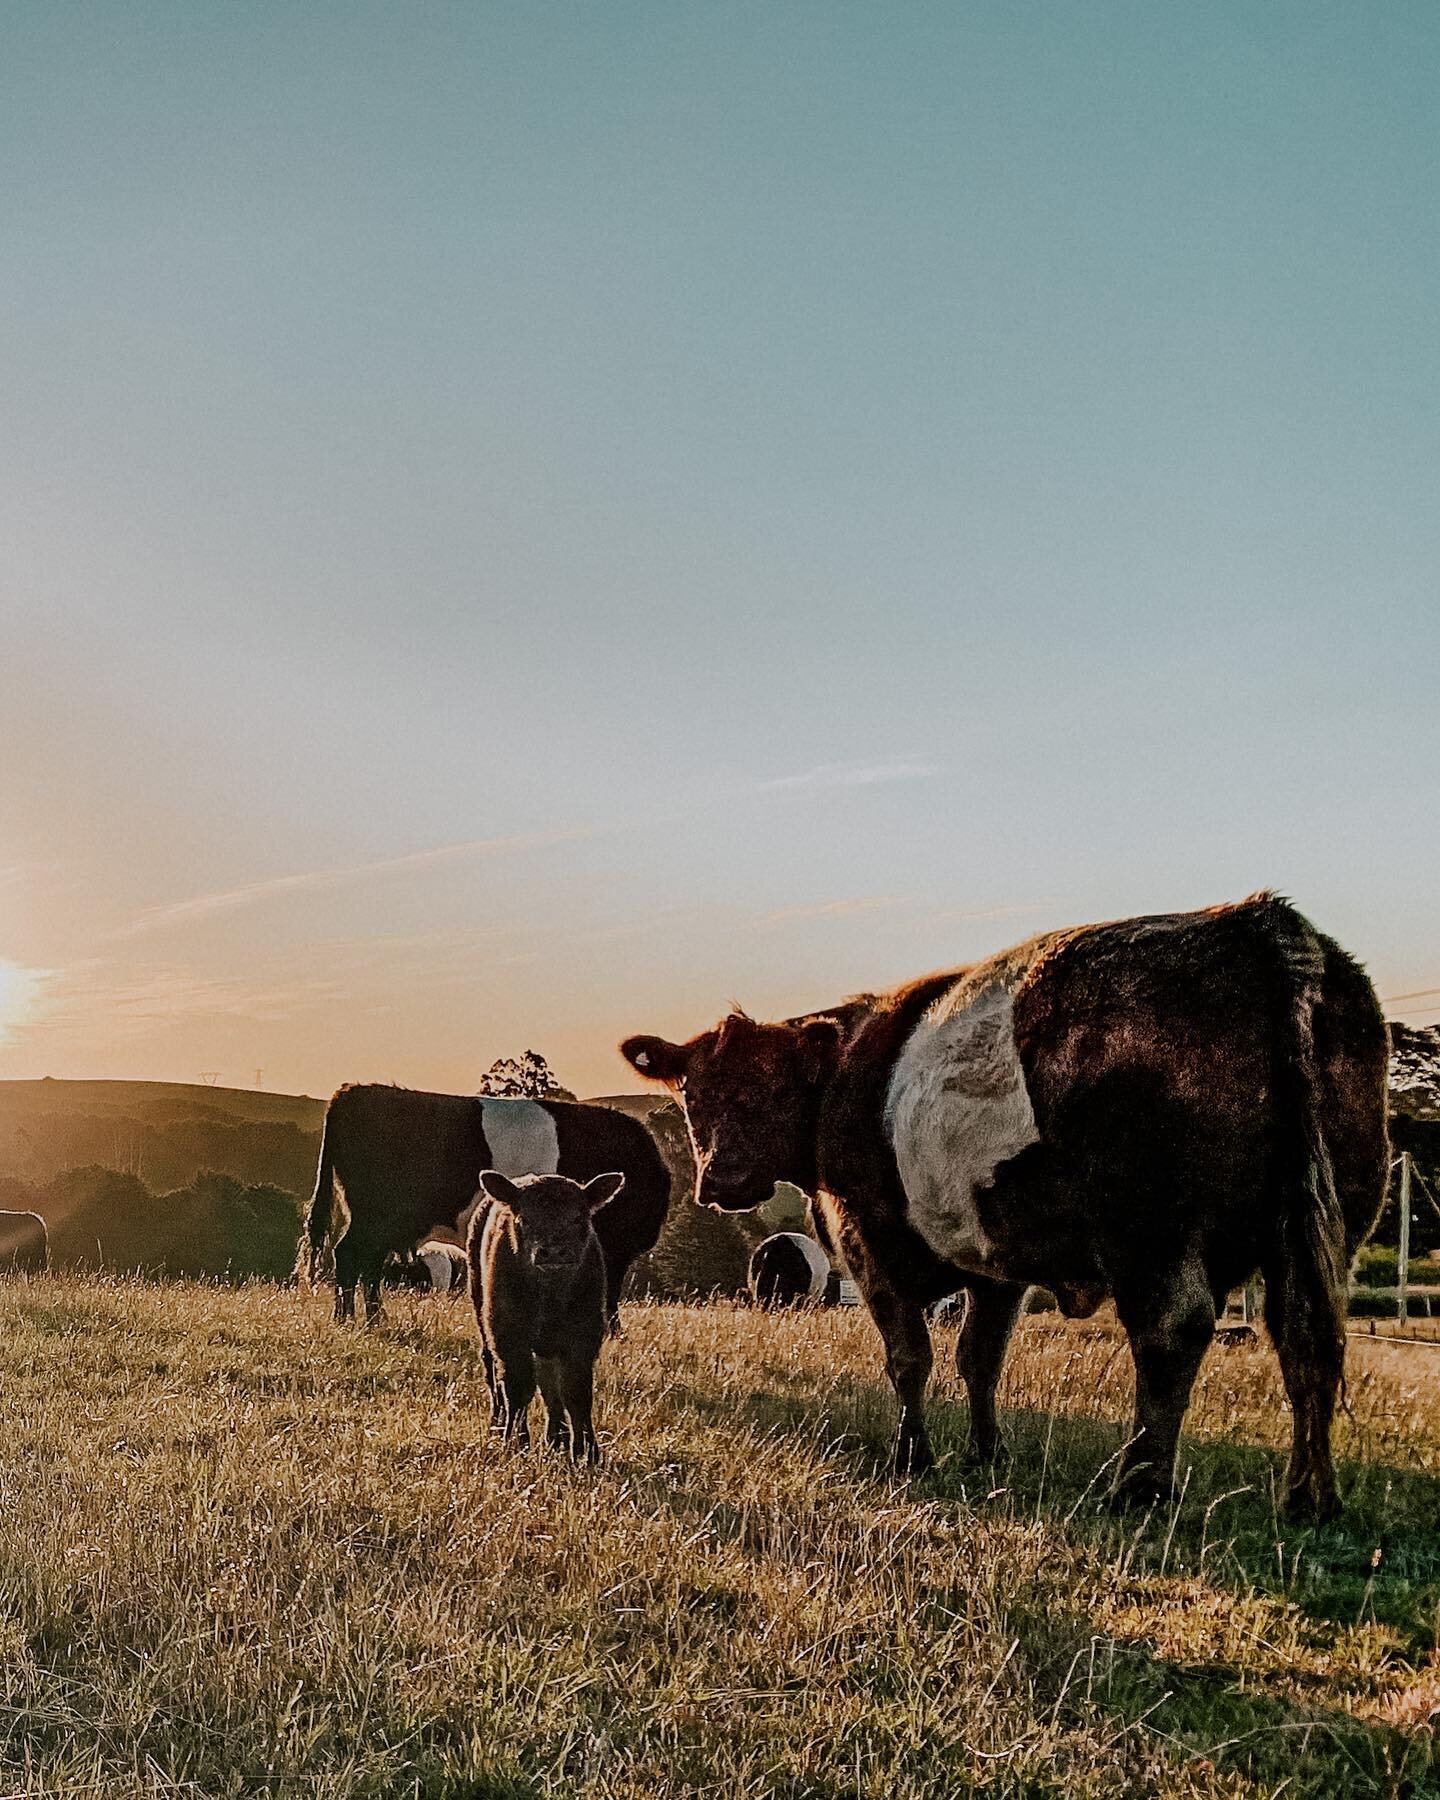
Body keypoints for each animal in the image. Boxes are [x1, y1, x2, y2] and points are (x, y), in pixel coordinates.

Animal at [306, 1080, 676, 1324]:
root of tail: (353, 1091)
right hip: (376, 1217)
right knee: (350, 1255)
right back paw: (347, 1318)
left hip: (381, 1222)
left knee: (367, 1263)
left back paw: (373, 1317)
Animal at [464, 1166, 615, 1461]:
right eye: (524, 1218)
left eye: (579, 1217)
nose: (554, 1251)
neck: (550, 1297)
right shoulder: (509, 1335)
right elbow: (518, 1387)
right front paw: (516, 1442)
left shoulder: (584, 1337)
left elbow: (575, 1392)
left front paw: (587, 1452)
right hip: (481, 1312)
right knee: (492, 1368)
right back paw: (499, 1424)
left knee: (549, 1384)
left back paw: (557, 1438)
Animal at [622, 896, 1389, 1519]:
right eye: (694, 1092)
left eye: (767, 1089)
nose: (719, 1178)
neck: (838, 1075)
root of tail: (1259, 922)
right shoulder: (995, 1265)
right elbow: (979, 1358)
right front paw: (985, 1452)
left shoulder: (869, 1240)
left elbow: (910, 1357)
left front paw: (912, 1456)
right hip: (1325, 1226)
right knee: (1308, 1339)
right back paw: (1308, 1497)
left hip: (1150, 1229)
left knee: (1175, 1330)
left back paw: (1140, 1487)